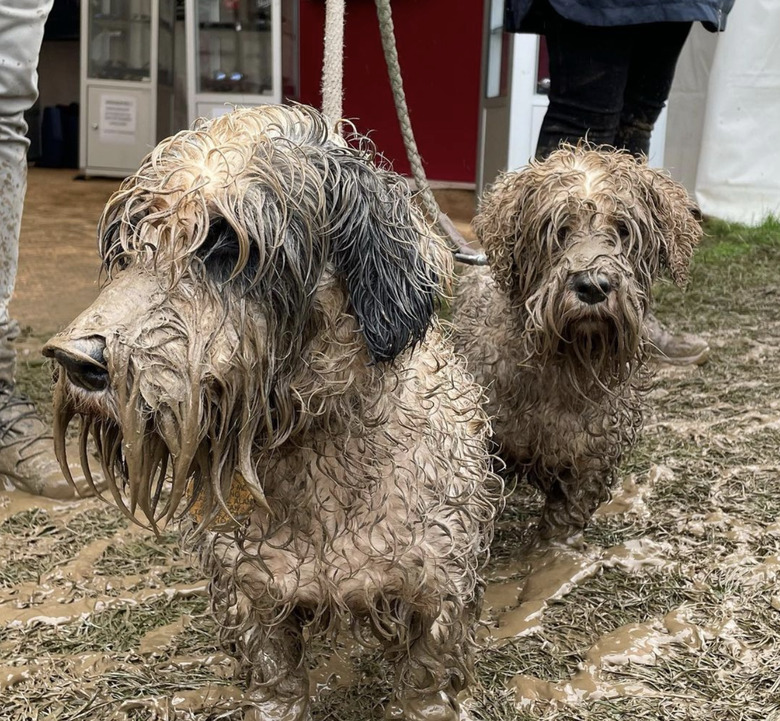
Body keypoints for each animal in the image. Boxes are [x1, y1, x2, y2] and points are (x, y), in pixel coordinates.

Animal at [44, 105, 500, 720]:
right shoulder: (255, 601)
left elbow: (424, 688)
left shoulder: (437, 602)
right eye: (126, 246)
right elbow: (277, 687)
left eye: (226, 245)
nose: (76, 360)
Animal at [450, 145, 700, 540]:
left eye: (623, 230)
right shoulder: (485, 449)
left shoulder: (589, 465)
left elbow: (558, 532)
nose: (592, 285)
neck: (562, 365)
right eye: (558, 229)